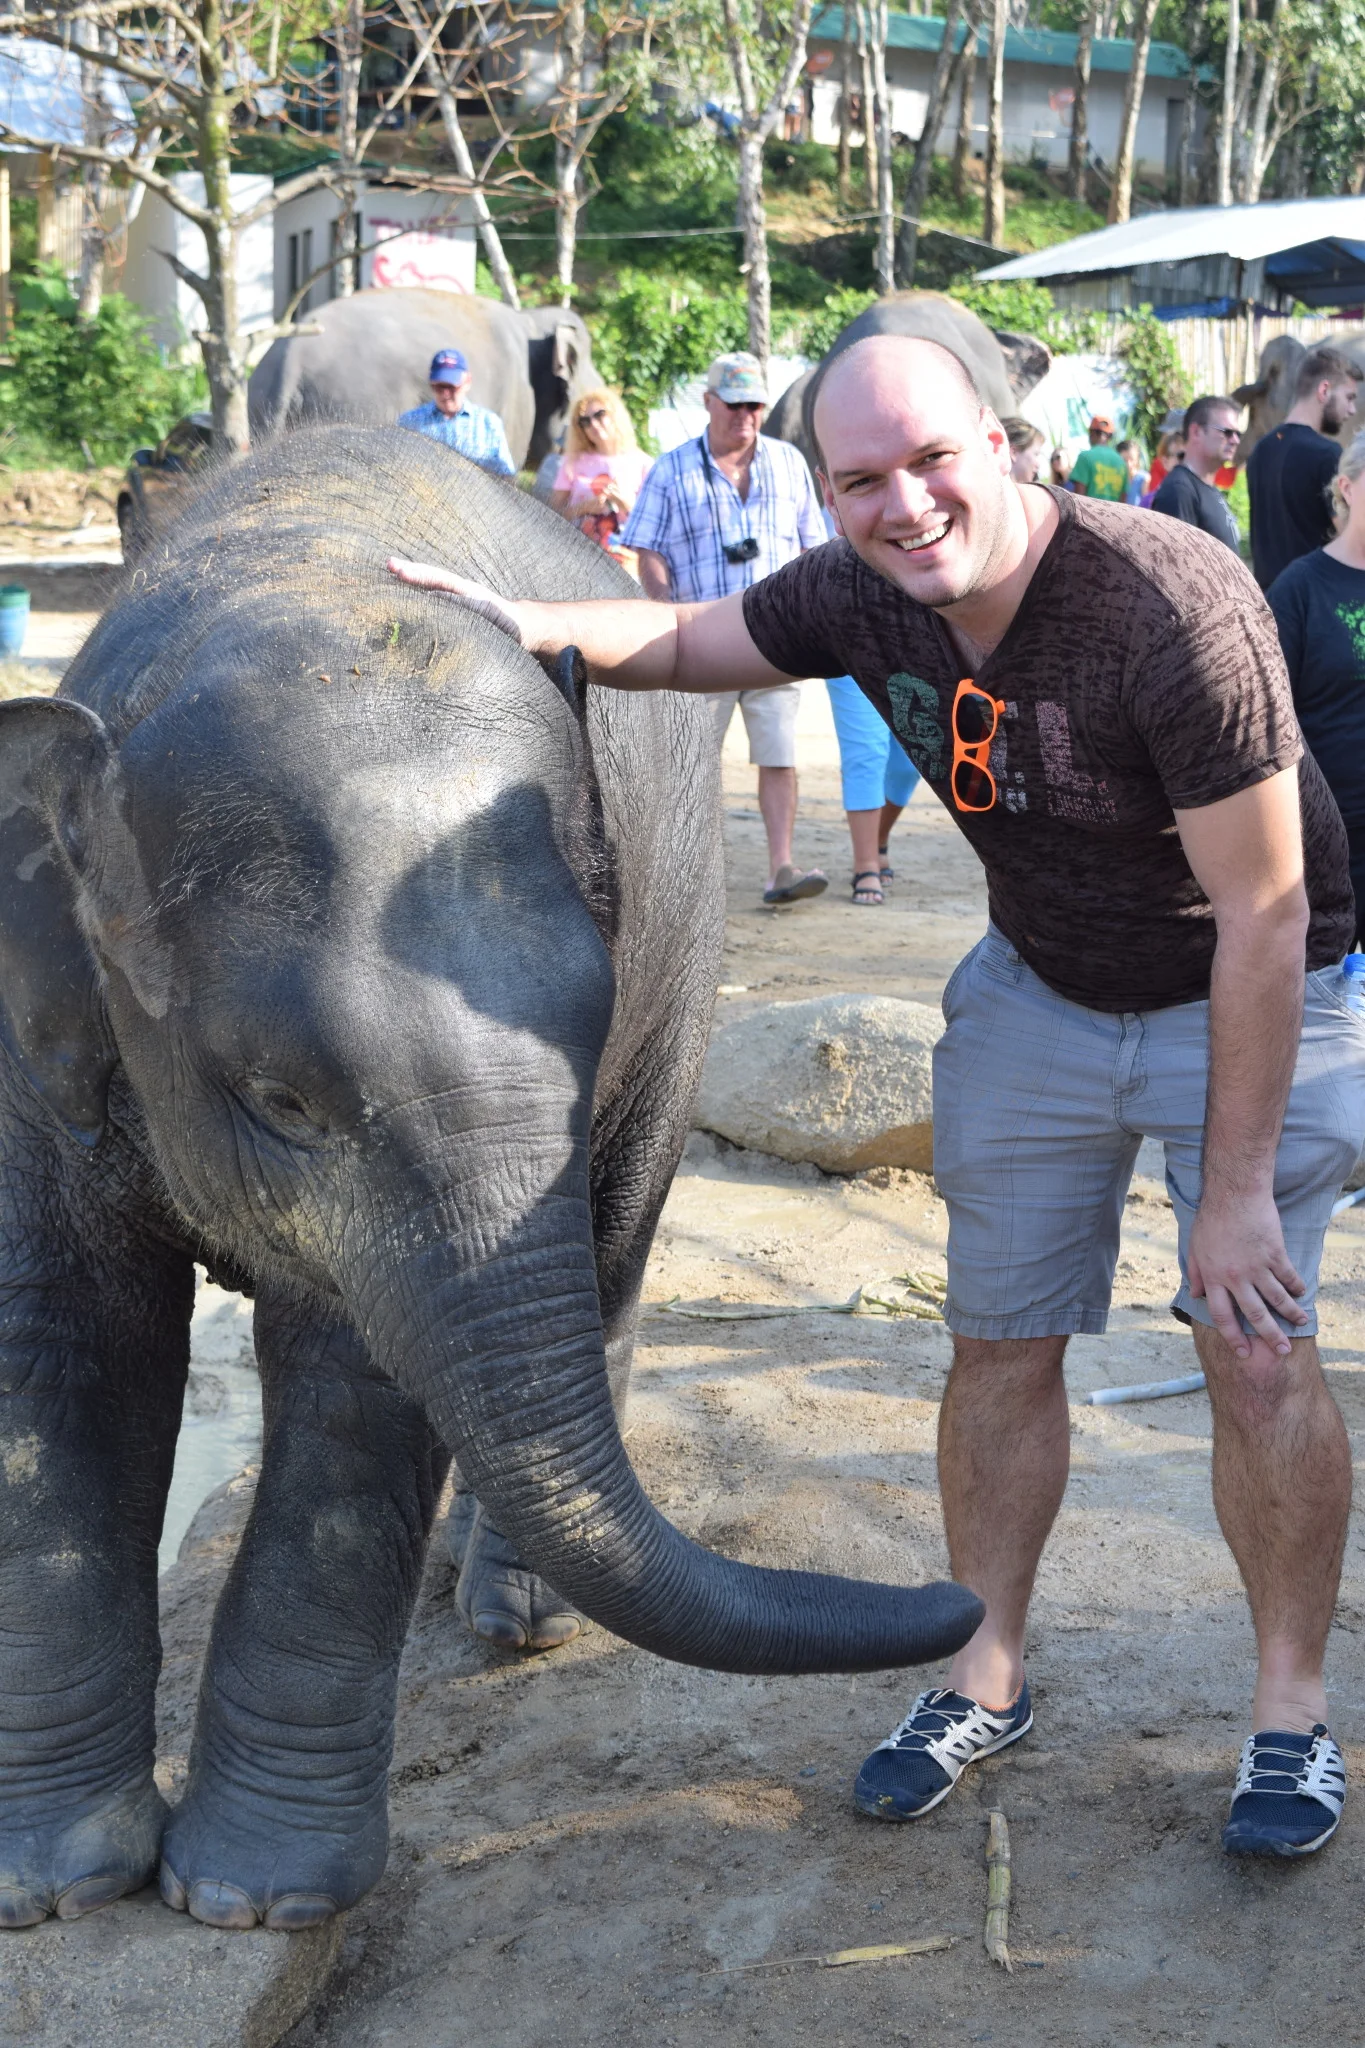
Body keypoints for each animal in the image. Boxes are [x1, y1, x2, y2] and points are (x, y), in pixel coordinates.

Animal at [0, 423, 982, 1933]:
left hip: (686, 958)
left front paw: (254, 1903)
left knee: (612, 1243)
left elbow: (355, 1391)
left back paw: (515, 1615)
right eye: (281, 1100)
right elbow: (61, 1359)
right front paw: (52, 1889)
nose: (961, 1596)